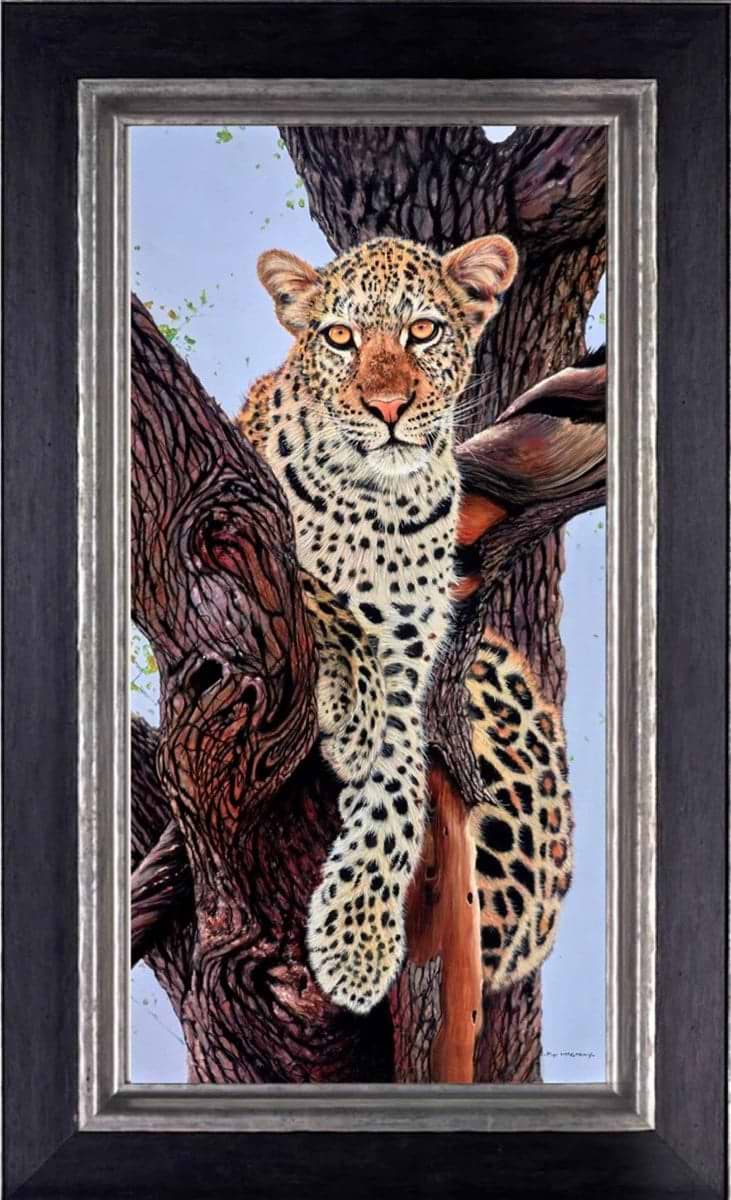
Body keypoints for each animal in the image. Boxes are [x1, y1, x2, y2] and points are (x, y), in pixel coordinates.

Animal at [237, 233, 573, 1013]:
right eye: (340, 338)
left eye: (422, 330)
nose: (387, 405)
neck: (379, 501)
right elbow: (318, 593)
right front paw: (354, 711)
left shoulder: (412, 655)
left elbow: (399, 788)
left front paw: (356, 942)